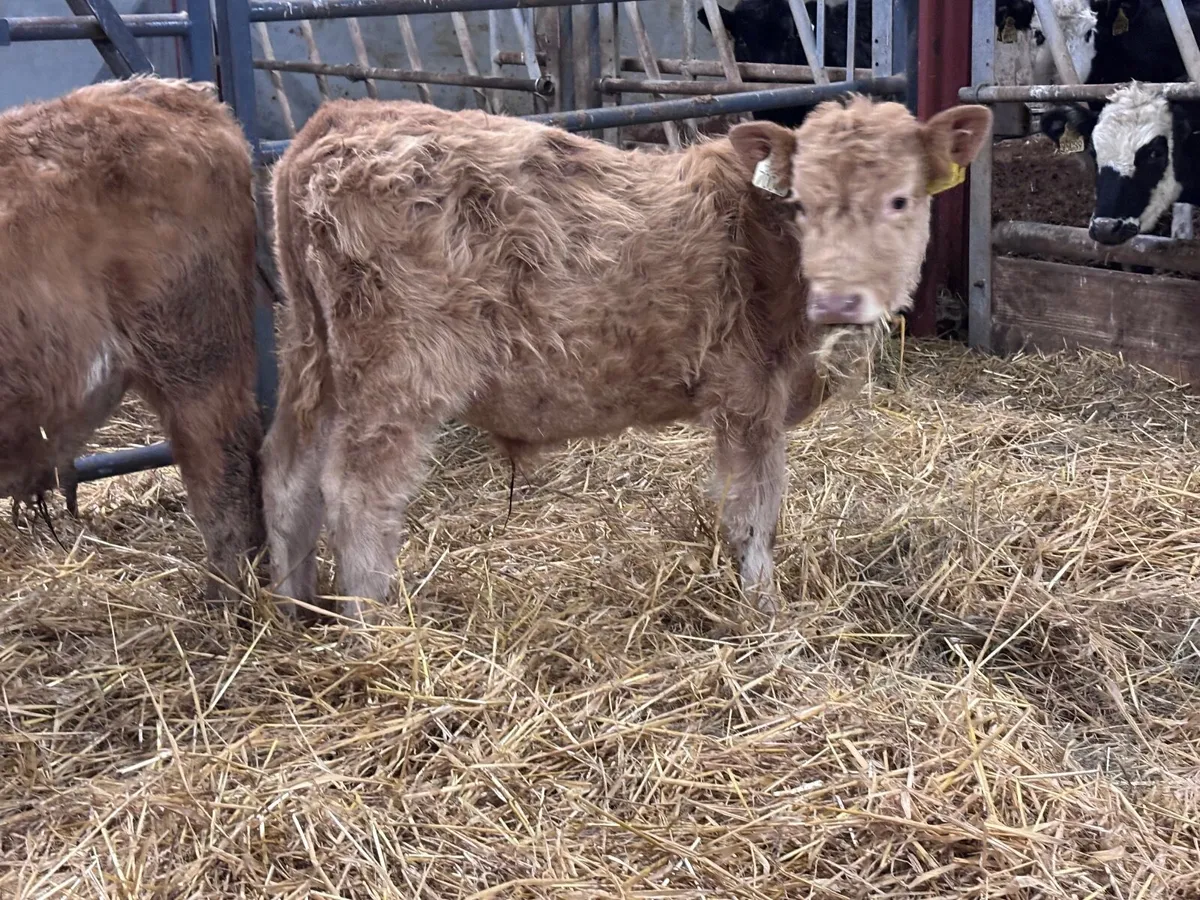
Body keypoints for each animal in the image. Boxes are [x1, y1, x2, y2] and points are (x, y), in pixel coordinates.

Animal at [261, 95, 992, 624]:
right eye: (802, 203)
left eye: (899, 200)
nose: (840, 299)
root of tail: (341, 119)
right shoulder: (749, 394)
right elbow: (755, 512)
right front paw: (765, 612)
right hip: (397, 373)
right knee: (358, 495)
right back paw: (374, 630)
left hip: (312, 353)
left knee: (288, 476)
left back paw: (294, 609)